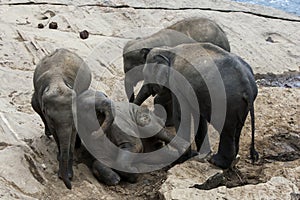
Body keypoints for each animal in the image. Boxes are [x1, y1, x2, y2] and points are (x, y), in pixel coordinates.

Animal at [31, 48, 113, 189]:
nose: (69, 186)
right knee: (34, 103)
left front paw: (68, 174)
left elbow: (73, 132)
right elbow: (56, 133)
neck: (57, 81)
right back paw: (48, 133)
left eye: (73, 114)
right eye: (51, 118)